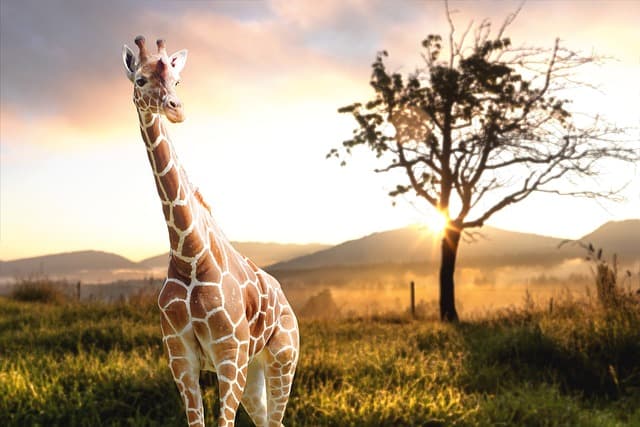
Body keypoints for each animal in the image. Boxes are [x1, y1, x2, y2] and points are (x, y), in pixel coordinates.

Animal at [122, 36, 299, 427]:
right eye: (140, 79)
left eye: (177, 80)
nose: (175, 109)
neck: (190, 254)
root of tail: (286, 300)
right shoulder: (180, 358)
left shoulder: (229, 356)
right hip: (254, 370)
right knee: (265, 420)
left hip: (282, 359)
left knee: (276, 419)